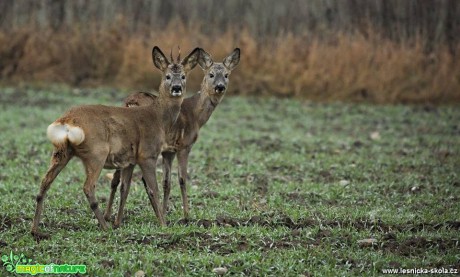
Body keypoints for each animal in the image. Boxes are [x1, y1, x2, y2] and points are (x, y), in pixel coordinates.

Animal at [30, 45, 199, 237]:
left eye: (184, 76)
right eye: (167, 76)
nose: (177, 88)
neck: (158, 118)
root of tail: (67, 120)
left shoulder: (129, 161)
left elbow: (125, 188)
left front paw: (119, 222)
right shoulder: (147, 154)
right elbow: (152, 189)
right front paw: (163, 224)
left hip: (61, 151)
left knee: (44, 183)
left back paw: (35, 230)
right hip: (97, 153)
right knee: (88, 187)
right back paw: (104, 227)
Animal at [104, 47, 241, 221]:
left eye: (226, 75)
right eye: (210, 74)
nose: (220, 87)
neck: (195, 114)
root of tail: (131, 102)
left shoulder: (168, 151)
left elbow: (166, 183)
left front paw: (165, 213)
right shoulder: (184, 145)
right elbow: (182, 179)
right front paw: (186, 216)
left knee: (116, 178)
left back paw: (108, 215)